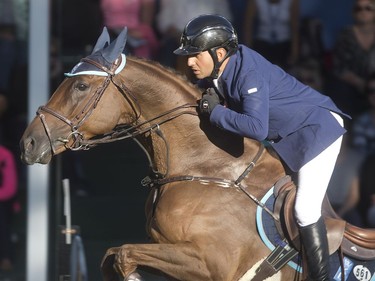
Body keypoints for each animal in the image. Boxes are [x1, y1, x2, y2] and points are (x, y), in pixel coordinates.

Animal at [19, 27, 314, 278]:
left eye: (81, 86)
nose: (28, 143)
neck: (205, 168)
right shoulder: (165, 248)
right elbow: (112, 255)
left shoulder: (211, 262)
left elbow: (123, 254)